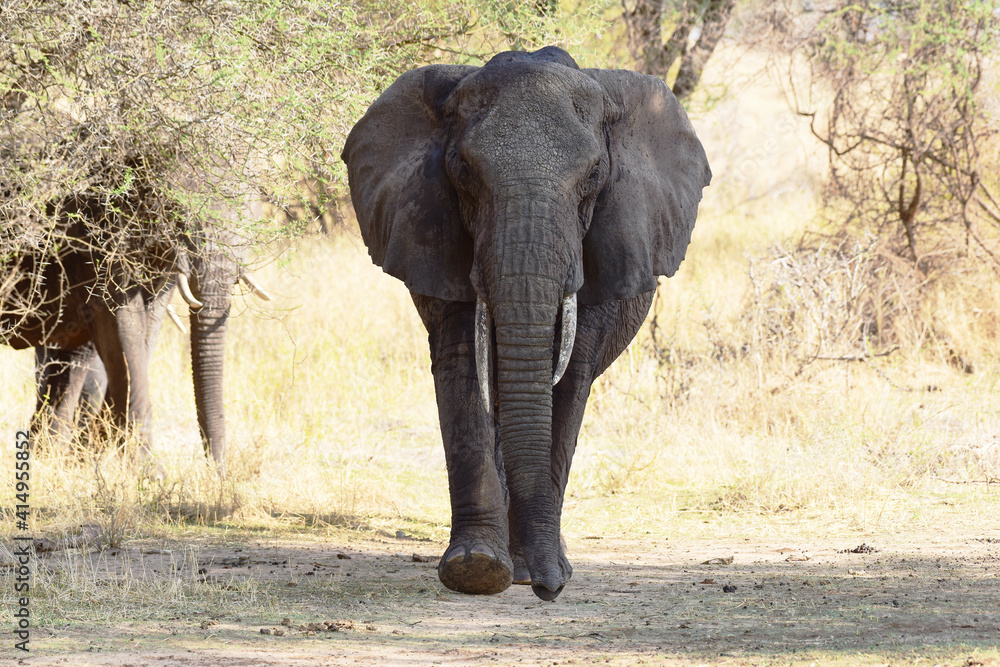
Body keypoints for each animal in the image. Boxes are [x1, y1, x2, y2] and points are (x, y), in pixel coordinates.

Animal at [342, 46, 711, 600]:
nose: (548, 589)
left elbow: (569, 377)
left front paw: (542, 567)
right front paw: (475, 568)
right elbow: (463, 365)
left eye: (594, 175)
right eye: (463, 171)